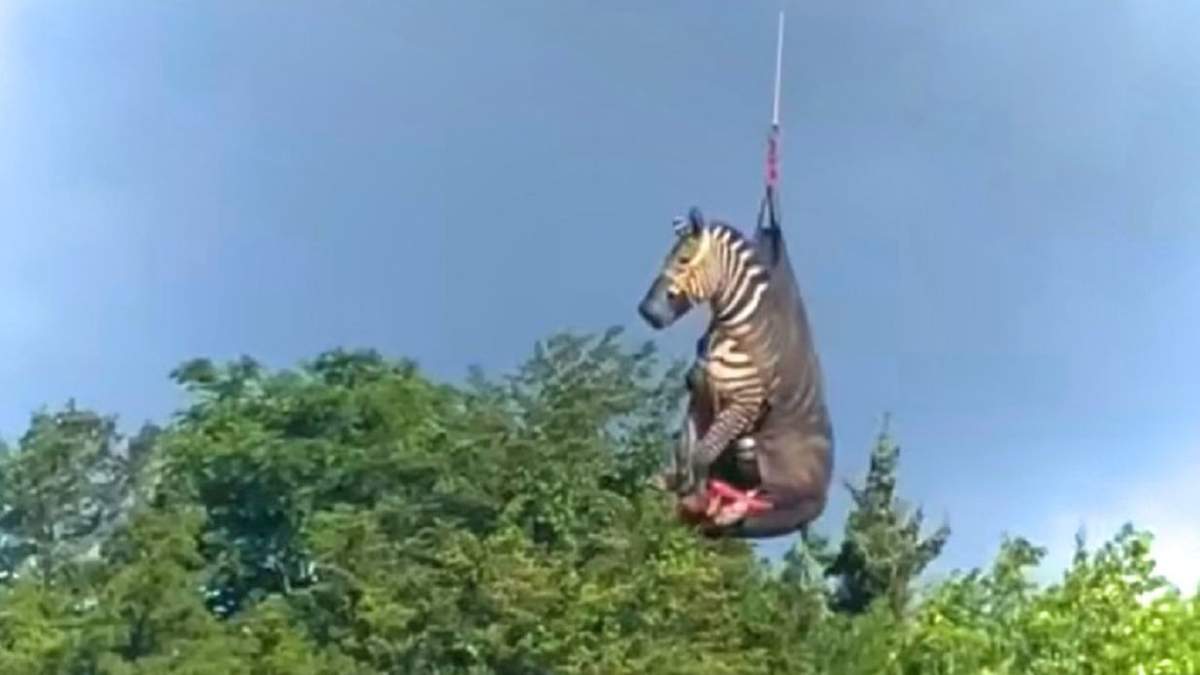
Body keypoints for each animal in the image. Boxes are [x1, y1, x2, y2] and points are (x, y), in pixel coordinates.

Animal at [637, 206, 833, 538]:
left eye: (684, 259)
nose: (647, 312)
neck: (740, 332)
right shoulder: (700, 398)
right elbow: (687, 452)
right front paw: (678, 491)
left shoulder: (743, 403)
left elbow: (701, 454)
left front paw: (695, 500)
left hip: (774, 476)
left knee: (763, 501)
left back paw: (724, 509)